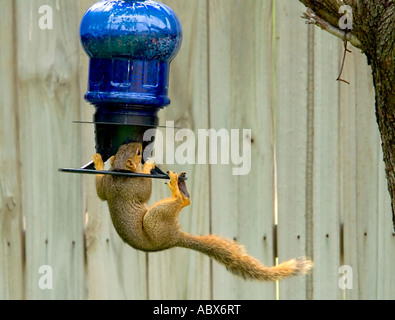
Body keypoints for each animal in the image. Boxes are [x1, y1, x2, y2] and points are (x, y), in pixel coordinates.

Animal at [93, 142, 312, 280]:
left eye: (125, 148)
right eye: (138, 153)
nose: (138, 143)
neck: (121, 171)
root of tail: (174, 237)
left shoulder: (107, 187)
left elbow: (100, 192)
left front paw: (98, 161)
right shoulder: (133, 187)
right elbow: (144, 191)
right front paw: (147, 166)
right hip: (153, 220)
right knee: (182, 202)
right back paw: (177, 189)